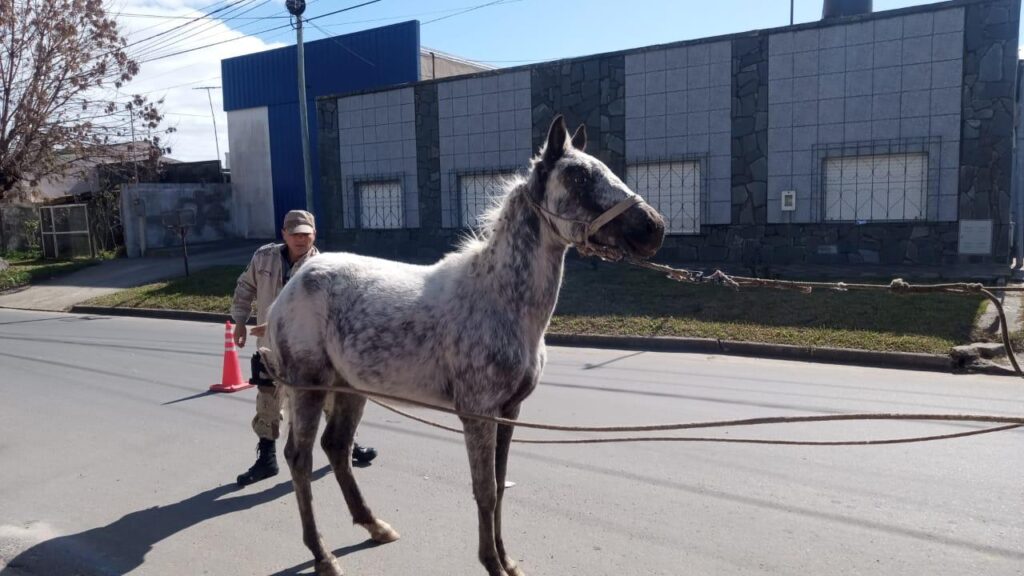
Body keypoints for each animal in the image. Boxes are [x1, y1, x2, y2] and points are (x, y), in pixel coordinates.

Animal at [262, 115, 666, 576]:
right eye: (579, 175)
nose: (653, 227)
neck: (500, 300)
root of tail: (291, 285)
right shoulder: (478, 412)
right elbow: (485, 488)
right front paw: (491, 563)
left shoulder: (509, 411)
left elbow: (501, 484)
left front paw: (508, 560)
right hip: (309, 386)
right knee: (300, 458)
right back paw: (323, 555)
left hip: (349, 388)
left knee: (337, 448)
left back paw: (375, 527)